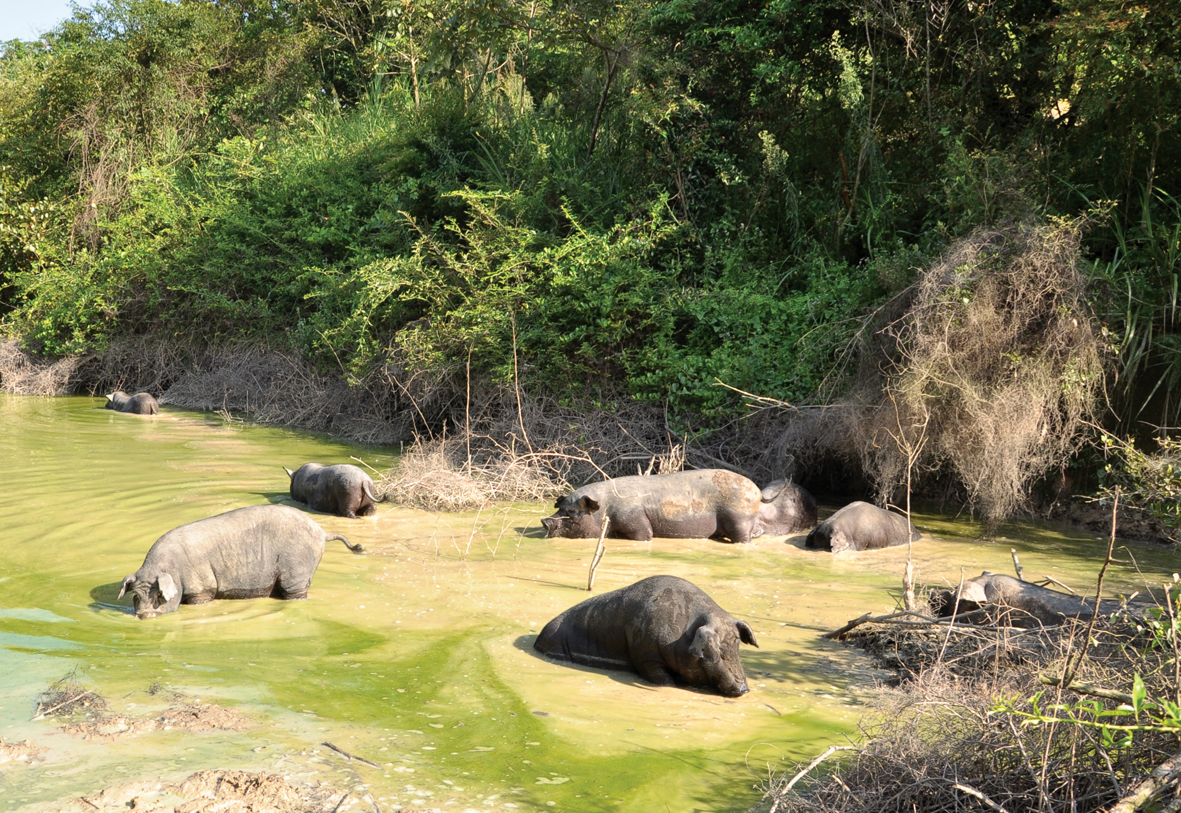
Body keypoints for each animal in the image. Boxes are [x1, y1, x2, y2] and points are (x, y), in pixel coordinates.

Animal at [119, 505, 361, 619]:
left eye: (160, 596)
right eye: (135, 597)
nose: (144, 616)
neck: (172, 569)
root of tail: (322, 532)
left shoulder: (202, 588)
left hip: (297, 570)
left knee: (295, 591)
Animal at [533, 574, 755, 694]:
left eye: (736, 645)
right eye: (718, 652)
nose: (743, 689)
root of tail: (538, 639)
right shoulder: (646, 657)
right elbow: (663, 680)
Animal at [543, 467, 765, 543]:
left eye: (573, 511)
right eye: (559, 508)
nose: (545, 521)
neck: (605, 509)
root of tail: (757, 491)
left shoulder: (636, 522)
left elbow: (645, 535)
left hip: (739, 518)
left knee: (742, 537)